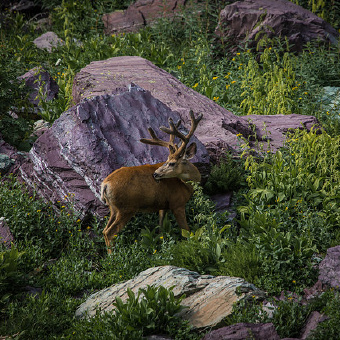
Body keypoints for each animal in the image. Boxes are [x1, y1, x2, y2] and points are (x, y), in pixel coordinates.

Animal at [100, 110, 202, 254]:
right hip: (126, 208)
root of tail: (105, 184)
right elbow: (186, 231)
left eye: (171, 162)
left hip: (113, 208)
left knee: (104, 230)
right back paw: (113, 256)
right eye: (168, 161)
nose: (155, 174)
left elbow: (160, 229)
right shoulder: (177, 203)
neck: (186, 184)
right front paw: (192, 247)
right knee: (110, 232)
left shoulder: (163, 205)